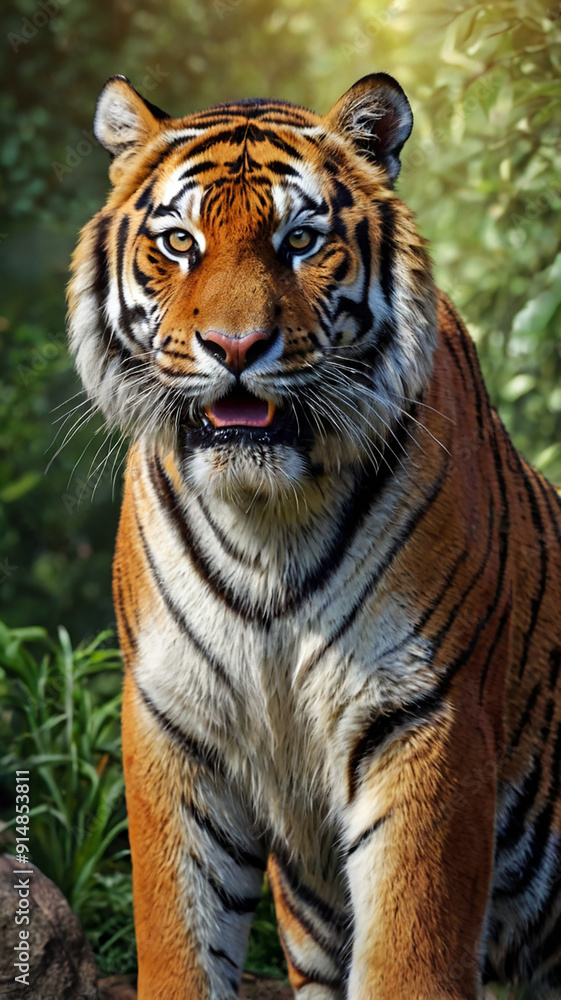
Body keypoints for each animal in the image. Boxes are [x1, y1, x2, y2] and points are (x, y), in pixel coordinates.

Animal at [67, 72, 561, 1000]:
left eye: (299, 241)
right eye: (179, 242)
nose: (233, 348)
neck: (266, 519)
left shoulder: (424, 716)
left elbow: (409, 956)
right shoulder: (172, 721)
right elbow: (180, 944)